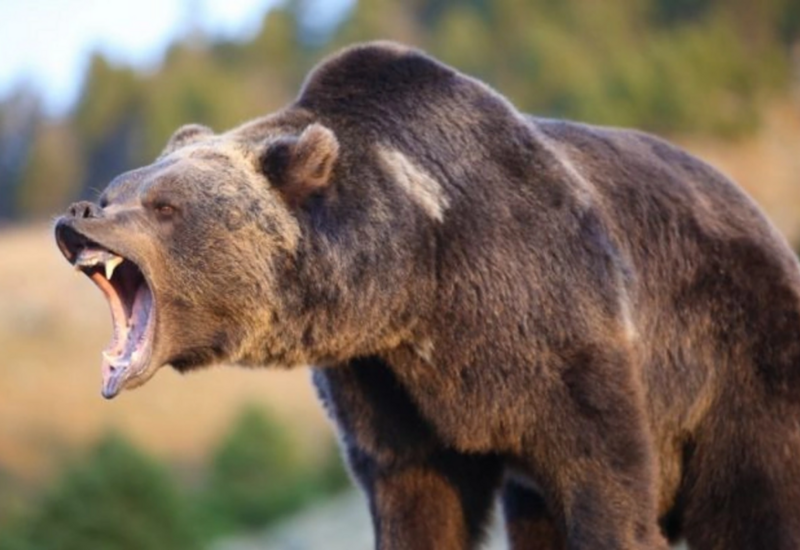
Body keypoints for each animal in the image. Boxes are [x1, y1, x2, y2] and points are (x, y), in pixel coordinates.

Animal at [55, 41, 800, 549]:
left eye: (164, 206)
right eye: (116, 191)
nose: (78, 214)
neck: (415, 279)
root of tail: (761, 219)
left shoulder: (560, 326)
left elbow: (605, 478)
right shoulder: (386, 388)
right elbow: (417, 497)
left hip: (740, 359)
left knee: (754, 499)